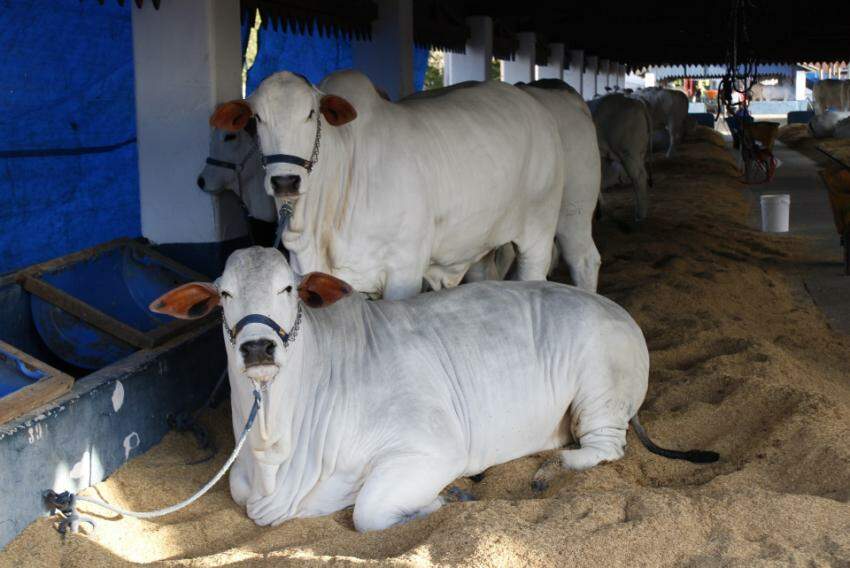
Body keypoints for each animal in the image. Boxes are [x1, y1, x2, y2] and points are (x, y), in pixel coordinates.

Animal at [152, 246, 716, 532]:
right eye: (224, 295)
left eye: (288, 288)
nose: (258, 348)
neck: (274, 452)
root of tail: (619, 311)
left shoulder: (430, 447)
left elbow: (368, 514)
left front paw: (447, 498)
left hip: (598, 392)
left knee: (605, 448)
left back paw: (549, 469)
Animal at [210, 71, 600, 298]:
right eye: (257, 119)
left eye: (311, 114)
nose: (285, 180)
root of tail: (537, 99)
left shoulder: (403, 270)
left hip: (555, 219)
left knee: (579, 260)